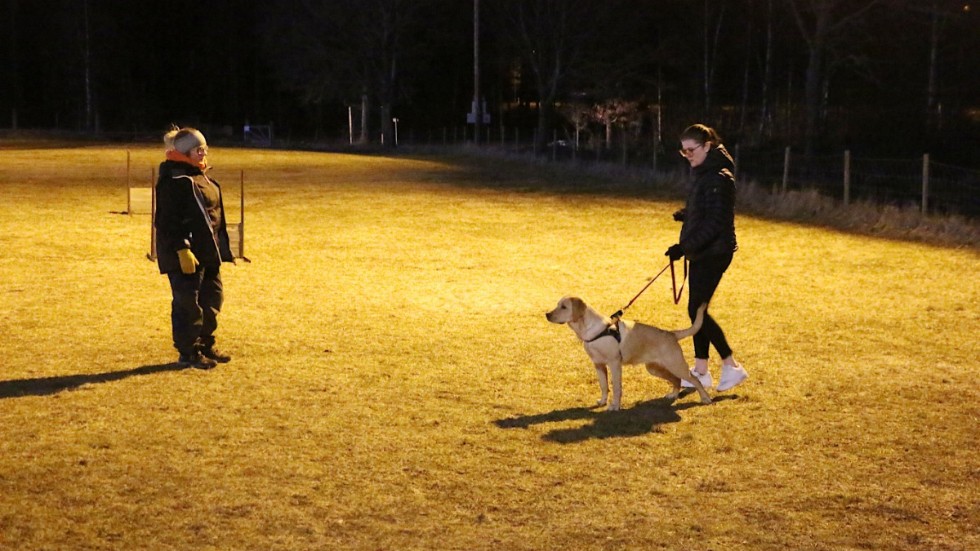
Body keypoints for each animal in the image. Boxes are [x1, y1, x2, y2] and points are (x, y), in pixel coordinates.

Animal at [544, 298, 712, 410]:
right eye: (557, 305)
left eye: (564, 307)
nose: (547, 314)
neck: (592, 330)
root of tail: (672, 334)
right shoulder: (598, 365)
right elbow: (604, 386)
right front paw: (603, 402)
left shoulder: (614, 364)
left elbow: (616, 387)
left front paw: (614, 406)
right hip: (655, 368)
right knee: (676, 380)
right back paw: (673, 395)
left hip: (676, 365)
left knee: (695, 379)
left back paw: (705, 398)